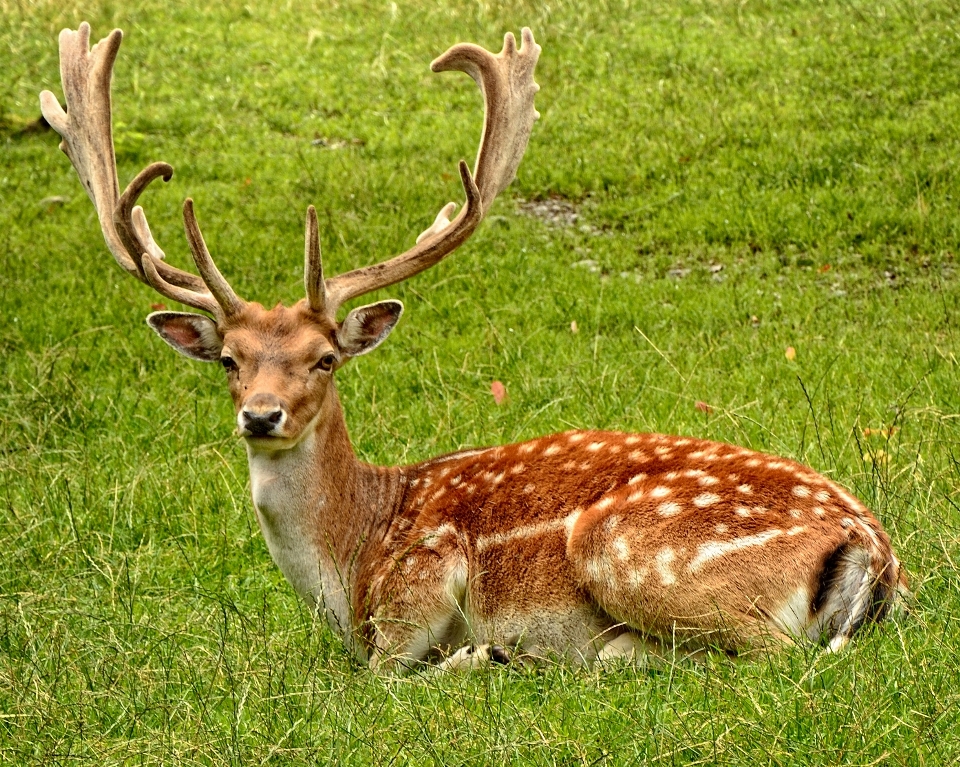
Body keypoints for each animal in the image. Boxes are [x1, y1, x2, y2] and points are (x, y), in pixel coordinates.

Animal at [39, 24, 908, 672]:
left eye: (325, 357)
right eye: (230, 359)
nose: (261, 414)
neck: (350, 560)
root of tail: (874, 548)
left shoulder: (420, 579)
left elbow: (385, 673)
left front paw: (477, 654)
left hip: (627, 548)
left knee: (770, 653)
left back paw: (572, 655)